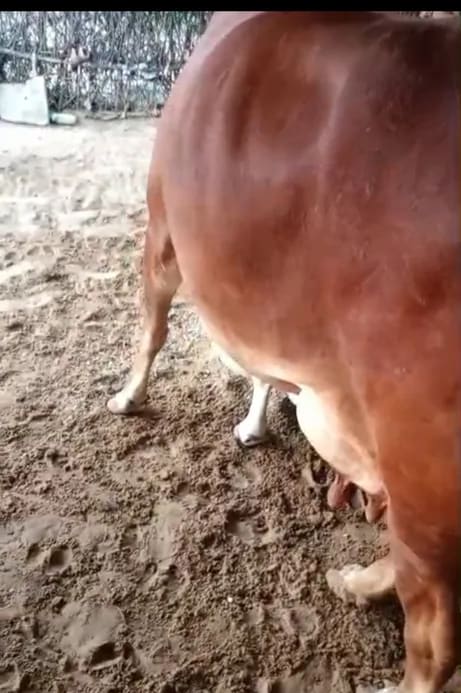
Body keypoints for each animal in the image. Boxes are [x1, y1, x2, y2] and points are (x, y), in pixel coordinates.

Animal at [108, 12, 461, 692]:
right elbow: (265, 371)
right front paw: (254, 424)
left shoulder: (162, 228)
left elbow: (151, 329)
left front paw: (128, 396)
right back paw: (353, 583)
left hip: (421, 470)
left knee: (434, 636)